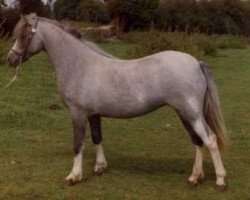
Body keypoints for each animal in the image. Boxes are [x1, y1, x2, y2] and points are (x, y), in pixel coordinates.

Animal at [6, 13, 228, 191]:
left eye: (24, 35)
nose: (10, 59)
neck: (80, 64)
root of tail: (196, 63)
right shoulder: (93, 114)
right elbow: (97, 138)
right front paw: (100, 167)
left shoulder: (78, 113)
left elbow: (78, 144)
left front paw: (74, 176)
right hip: (185, 114)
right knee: (197, 141)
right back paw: (194, 178)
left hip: (192, 114)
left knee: (210, 140)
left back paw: (220, 180)